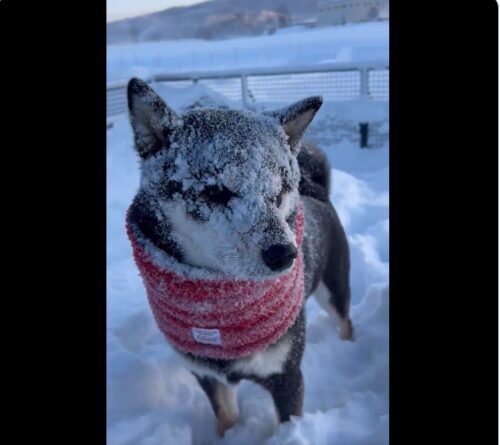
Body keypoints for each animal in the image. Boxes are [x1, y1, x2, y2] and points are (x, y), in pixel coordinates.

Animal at [125, 78, 352, 436]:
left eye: (279, 192)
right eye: (215, 192)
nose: (285, 253)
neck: (218, 305)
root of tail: (317, 192)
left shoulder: (287, 374)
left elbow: (287, 422)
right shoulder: (208, 375)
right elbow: (226, 417)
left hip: (334, 287)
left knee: (345, 320)